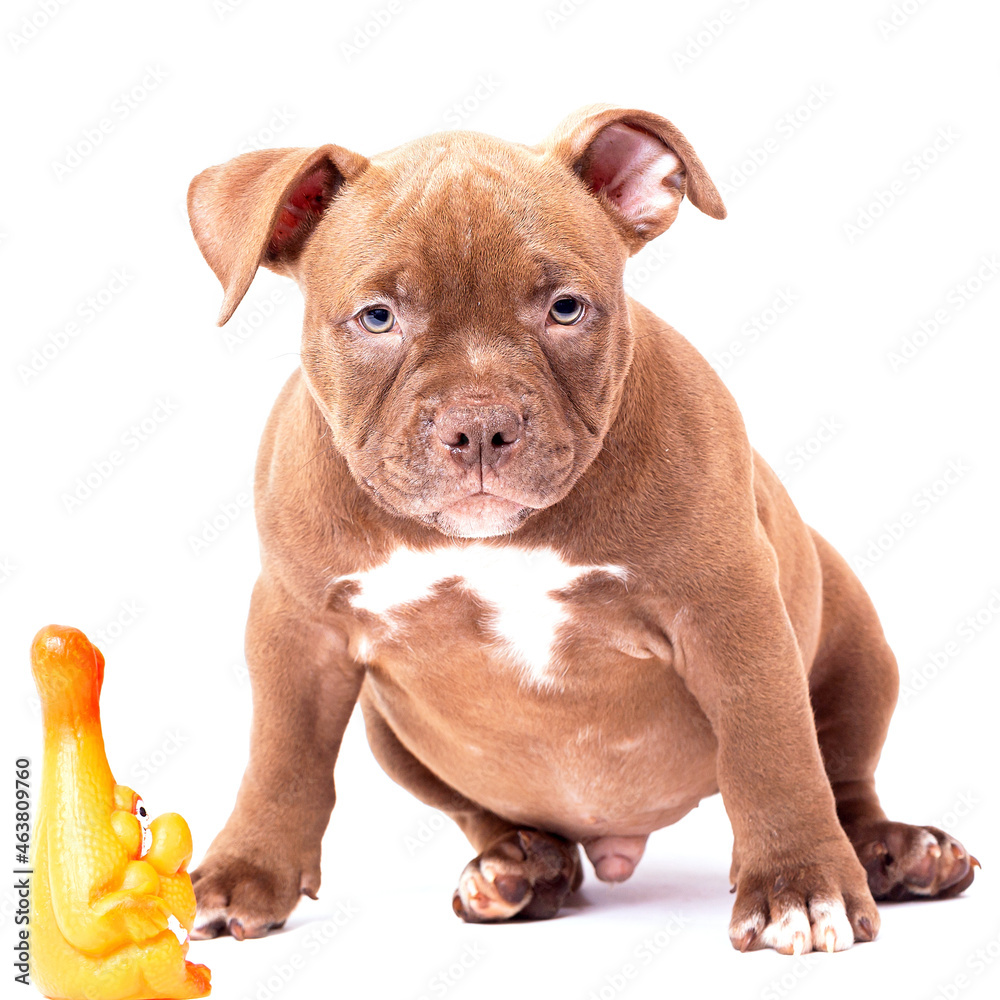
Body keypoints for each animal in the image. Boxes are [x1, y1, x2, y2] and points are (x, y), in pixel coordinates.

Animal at [186, 107, 976, 952]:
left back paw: (898, 854)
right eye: (377, 318)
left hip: (857, 642)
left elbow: (771, 748)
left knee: (843, 774)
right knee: (482, 815)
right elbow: (282, 757)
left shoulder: (730, 609)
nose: (479, 425)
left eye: (565, 308)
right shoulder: (298, 626)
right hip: (389, 734)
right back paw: (519, 868)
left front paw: (799, 885)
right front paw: (246, 869)